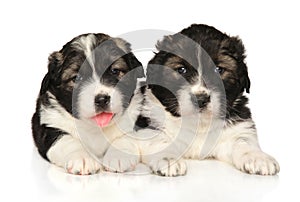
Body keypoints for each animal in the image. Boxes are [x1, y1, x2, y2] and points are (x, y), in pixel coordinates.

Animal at [31, 33, 145, 175]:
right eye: (76, 78)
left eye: (114, 71)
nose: (102, 99)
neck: (95, 128)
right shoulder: (48, 124)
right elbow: (65, 139)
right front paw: (81, 158)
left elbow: (127, 135)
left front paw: (118, 155)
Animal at [139, 23, 280, 176]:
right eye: (181, 70)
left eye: (218, 69)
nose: (200, 99)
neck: (199, 124)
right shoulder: (149, 125)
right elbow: (160, 141)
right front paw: (169, 159)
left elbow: (243, 141)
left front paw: (257, 157)